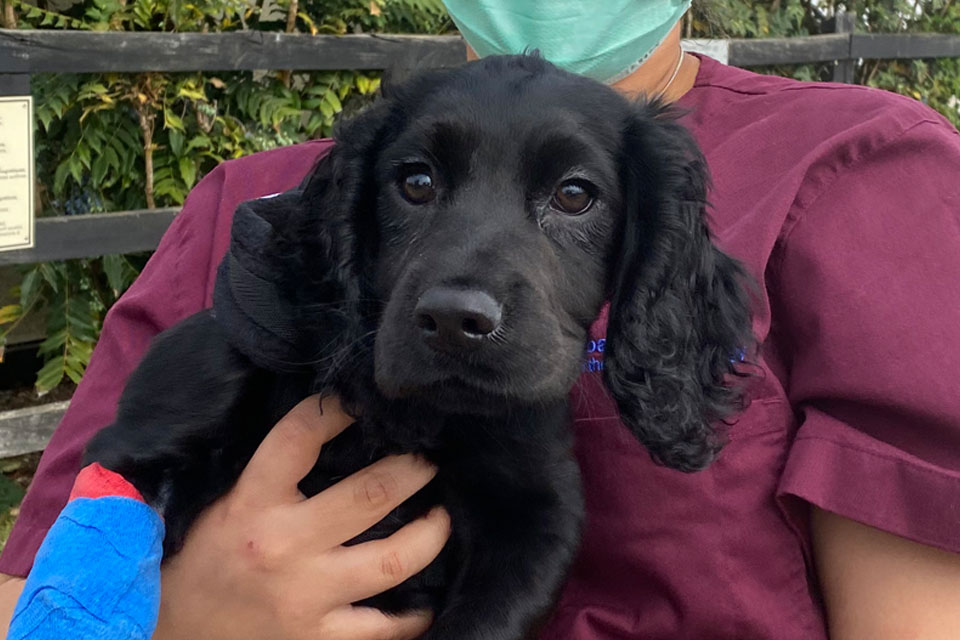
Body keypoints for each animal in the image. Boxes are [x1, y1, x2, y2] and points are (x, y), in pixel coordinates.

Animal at [86, 55, 752, 640]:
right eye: (416, 182)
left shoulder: (536, 521)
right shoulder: (147, 440)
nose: (456, 320)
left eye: (574, 195)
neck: (416, 415)